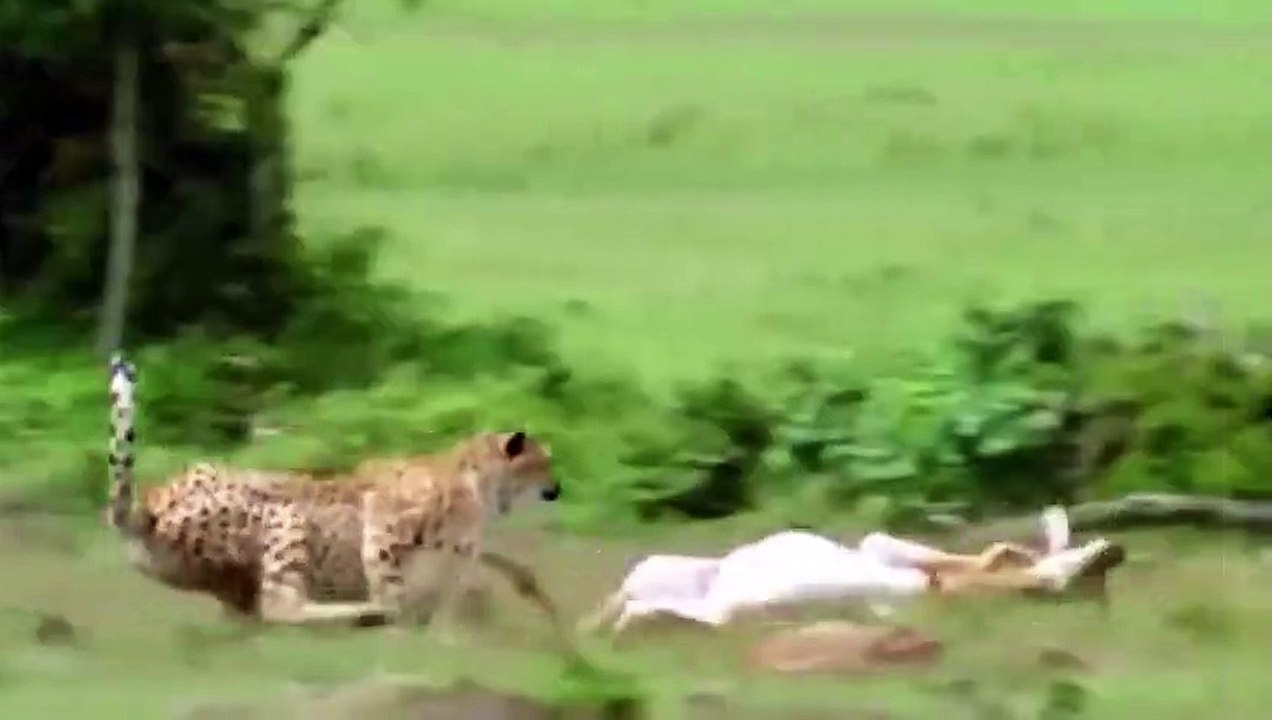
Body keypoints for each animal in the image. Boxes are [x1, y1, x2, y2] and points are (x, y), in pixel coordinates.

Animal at [104, 352, 561, 631]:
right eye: (543, 462)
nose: (557, 488)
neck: (479, 484)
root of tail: (153, 501)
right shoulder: (384, 523)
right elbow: (391, 583)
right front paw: (399, 624)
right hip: (285, 514)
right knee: (281, 604)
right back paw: (362, 614)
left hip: (230, 578)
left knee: (253, 613)